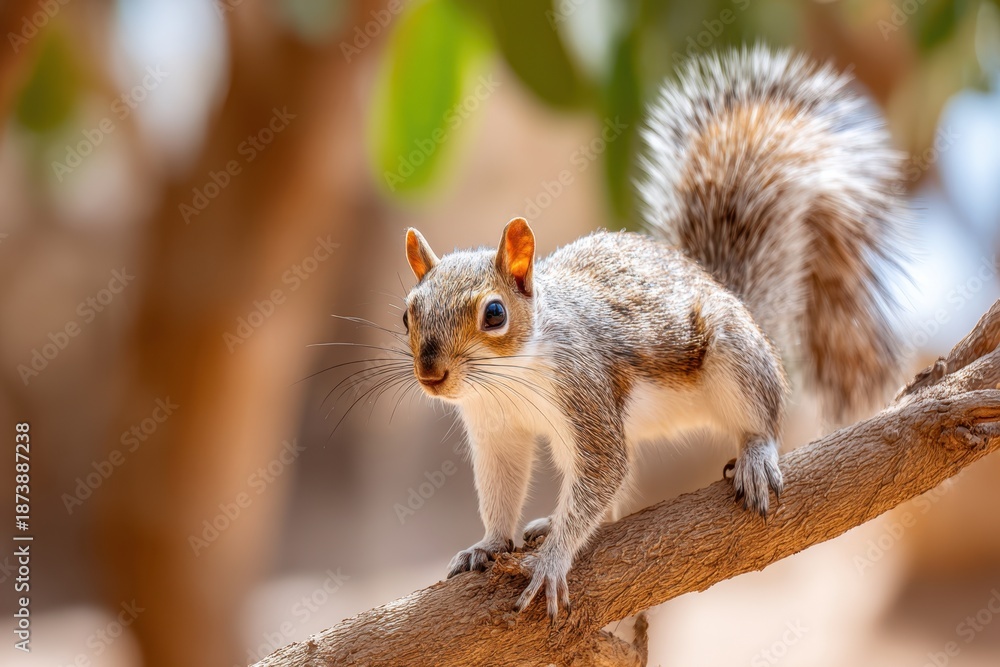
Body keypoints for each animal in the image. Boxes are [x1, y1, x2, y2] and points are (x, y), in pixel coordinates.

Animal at [399, 47, 906, 620]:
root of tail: (736, 300)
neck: (508, 377)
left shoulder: (584, 390)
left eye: (494, 314)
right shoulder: (495, 428)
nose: (431, 374)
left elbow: (602, 468)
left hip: (735, 353)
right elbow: (504, 488)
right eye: (407, 315)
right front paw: (488, 544)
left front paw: (551, 562)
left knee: (760, 418)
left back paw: (755, 456)